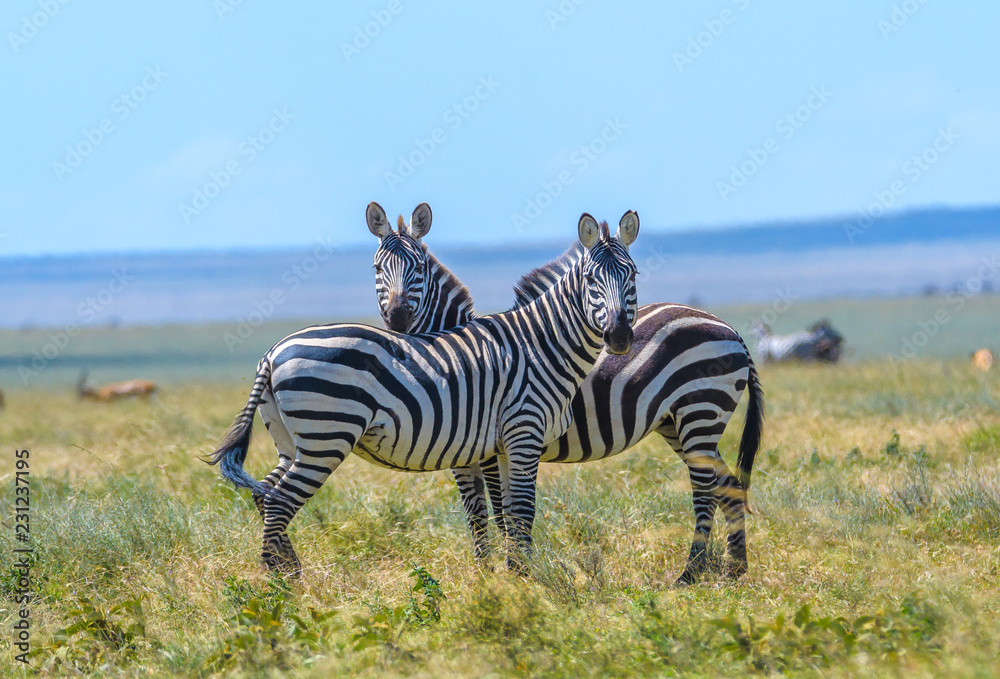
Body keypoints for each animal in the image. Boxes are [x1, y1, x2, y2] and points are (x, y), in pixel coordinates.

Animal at [208, 211, 640, 575]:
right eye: (591, 281)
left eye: (633, 275)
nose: (619, 337)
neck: (541, 344)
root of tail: (272, 352)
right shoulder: (522, 433)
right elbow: (519, 510)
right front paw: (524, 581)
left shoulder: (499, 445)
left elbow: (503, 513)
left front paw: (505, 577)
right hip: (326, 436)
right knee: (279, 499)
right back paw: (283, 586)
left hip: (291, 440)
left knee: (266, 492)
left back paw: (289, 573)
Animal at [368, 214, 764, 585]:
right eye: (377, 268)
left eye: (418, 268)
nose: (398, 318)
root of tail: (728, 327)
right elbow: (481, 511)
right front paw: (491, 572)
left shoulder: (490, 447)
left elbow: (497, 509)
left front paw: (505, 573)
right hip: (677, 424)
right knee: (728, 487)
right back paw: (736, 570)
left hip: (700, 411)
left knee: (705, 490)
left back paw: (690, 573)